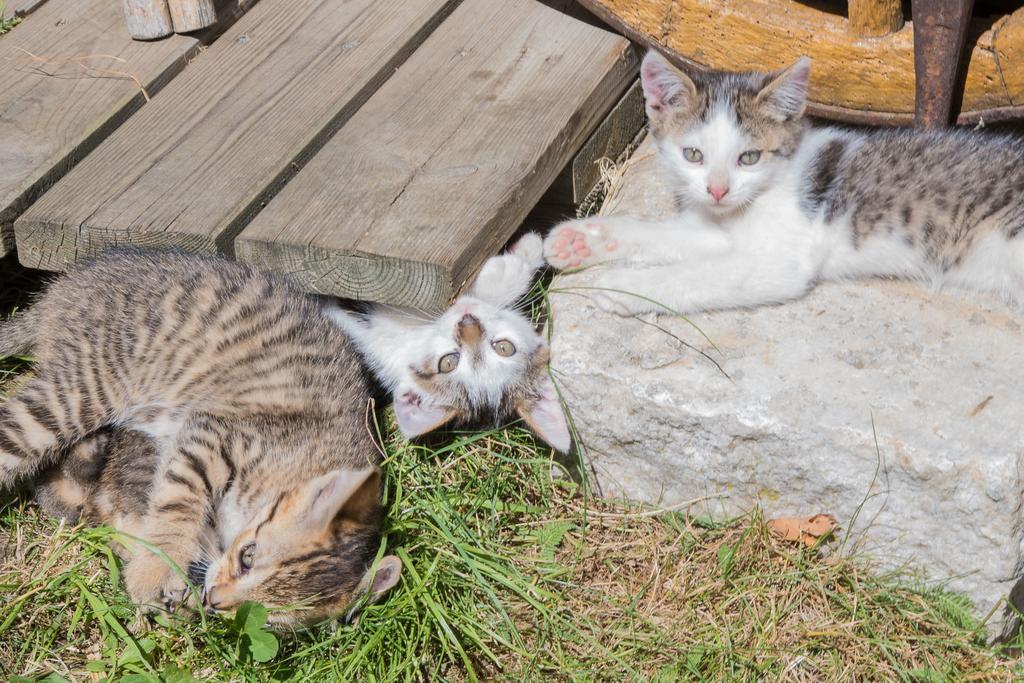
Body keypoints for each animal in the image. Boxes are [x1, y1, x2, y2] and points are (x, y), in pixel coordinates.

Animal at [0, 250, 399, 630]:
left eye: (268, 618)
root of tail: (62, 288)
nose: (215, 600)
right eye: (248, 556)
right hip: (85, 389)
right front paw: (154, 571)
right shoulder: (212, 435)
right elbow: (177, 503)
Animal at [544, 51, 1024, 317]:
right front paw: (582, 240)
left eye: (749, 157)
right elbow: (664, 236)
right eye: (693, 155)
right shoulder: (718, 228)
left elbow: (697, 274)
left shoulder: (780, 260)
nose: (717, 190)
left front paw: (619, 285)